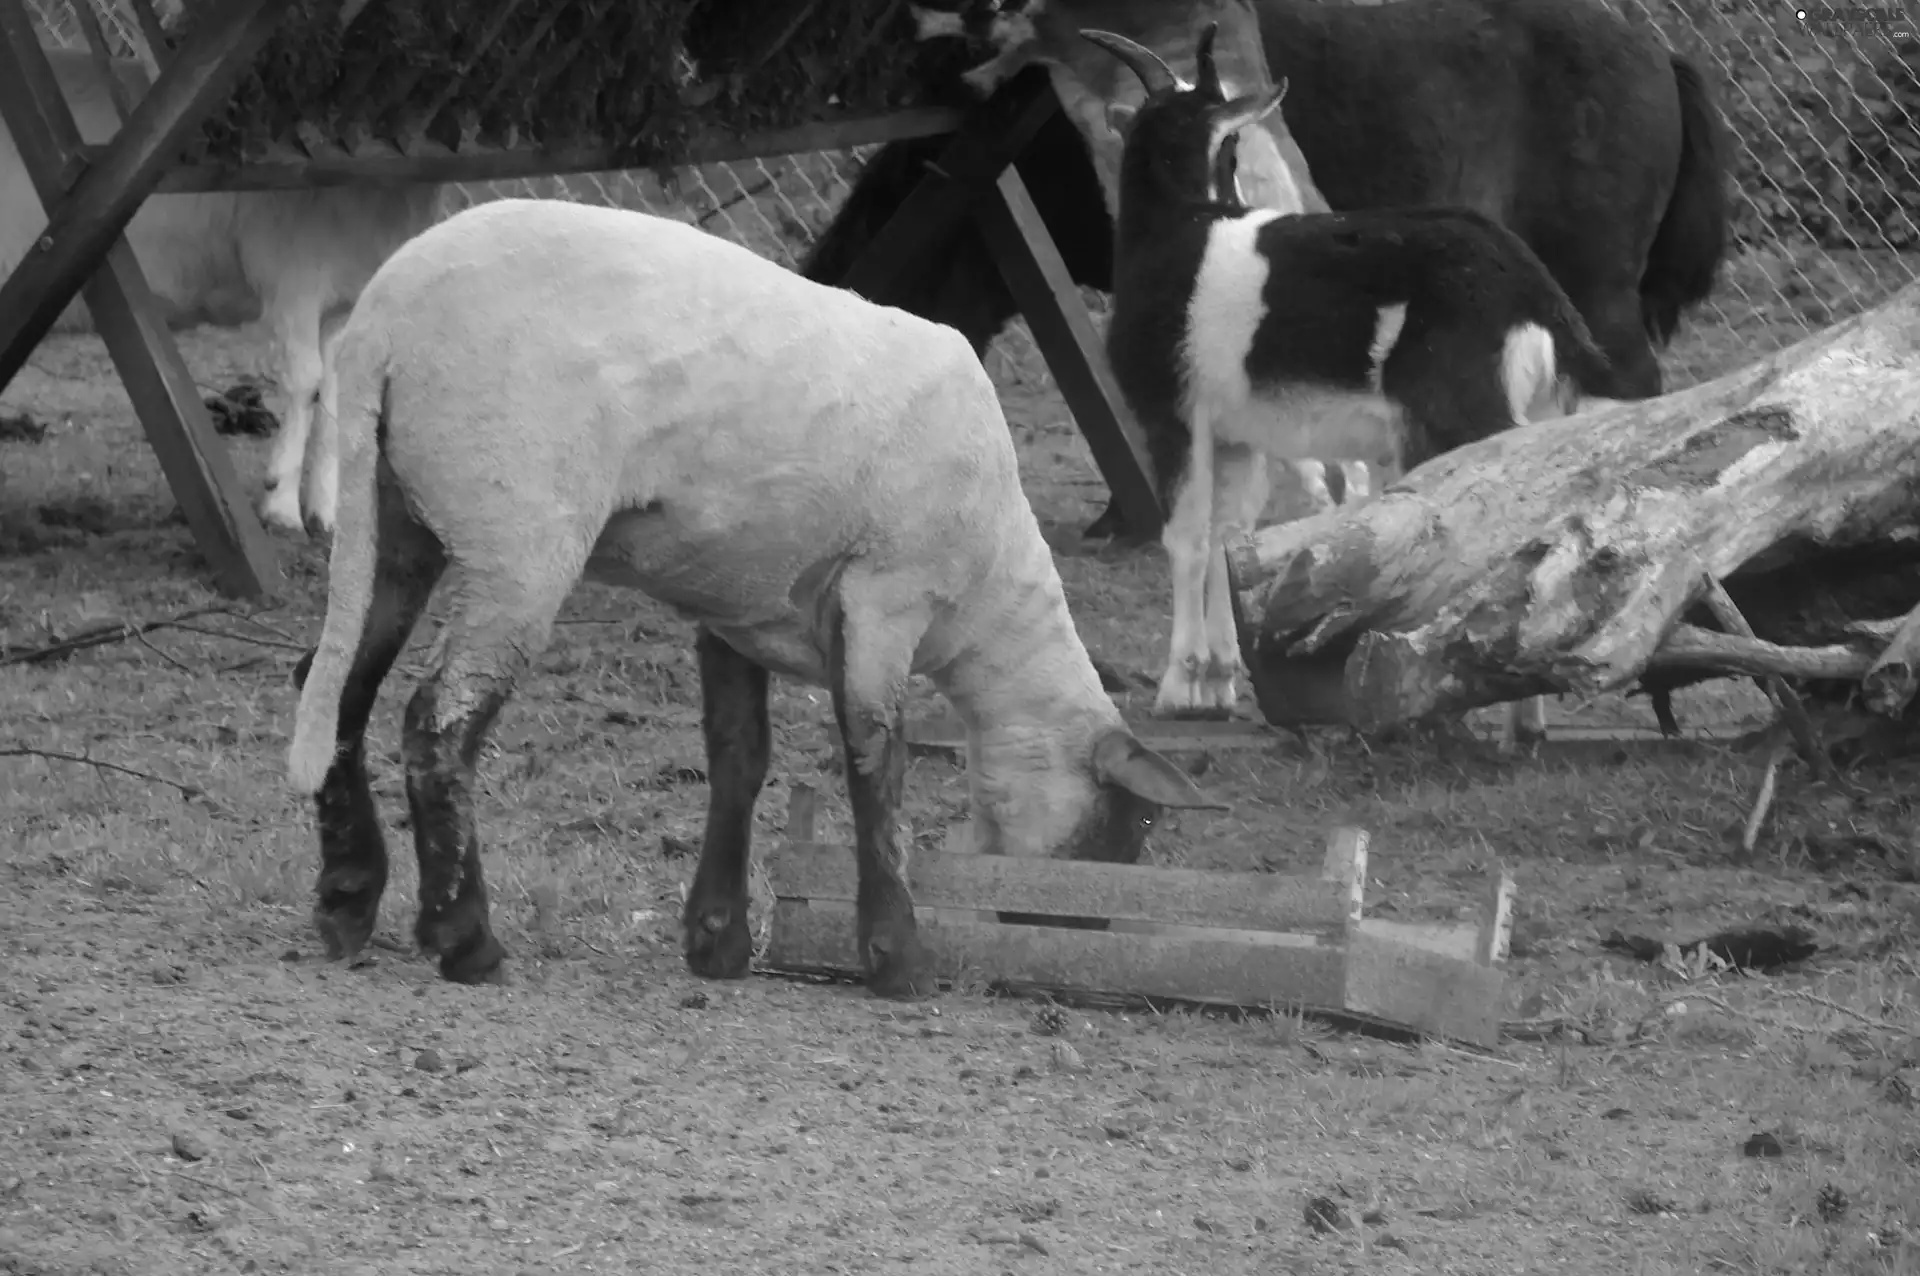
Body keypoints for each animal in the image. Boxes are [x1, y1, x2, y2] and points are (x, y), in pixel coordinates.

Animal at [1, 46, 441, 537]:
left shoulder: (345, 297)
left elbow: (334, 391)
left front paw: (326, 514)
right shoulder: (294, 279)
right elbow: (305, 380)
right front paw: (281, 505)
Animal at [286, 199, 1221, 997]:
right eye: (1130, 825)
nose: (1078, 935)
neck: (989, 595)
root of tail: (382, 322)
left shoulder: (734, 607)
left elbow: (740, 757)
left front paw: (718, 940)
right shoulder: (887, 595)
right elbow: (875, 756)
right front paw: (897, 956)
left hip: (399, 516)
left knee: (334, 685)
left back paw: (348, 896)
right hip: (517, 530)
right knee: (437, 721)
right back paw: (465, 939)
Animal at [1090, 29, 1612, 725]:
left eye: (1231, 147)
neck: (1179, 232)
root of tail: (1537, 294)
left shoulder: (1171, 413)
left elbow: (1186, 539)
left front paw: (1179, 688)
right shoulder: (1236, 435)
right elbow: (1227, 538)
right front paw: (1221, 681)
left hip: (1460, 420)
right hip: (1541, 419)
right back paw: (1521, 719)